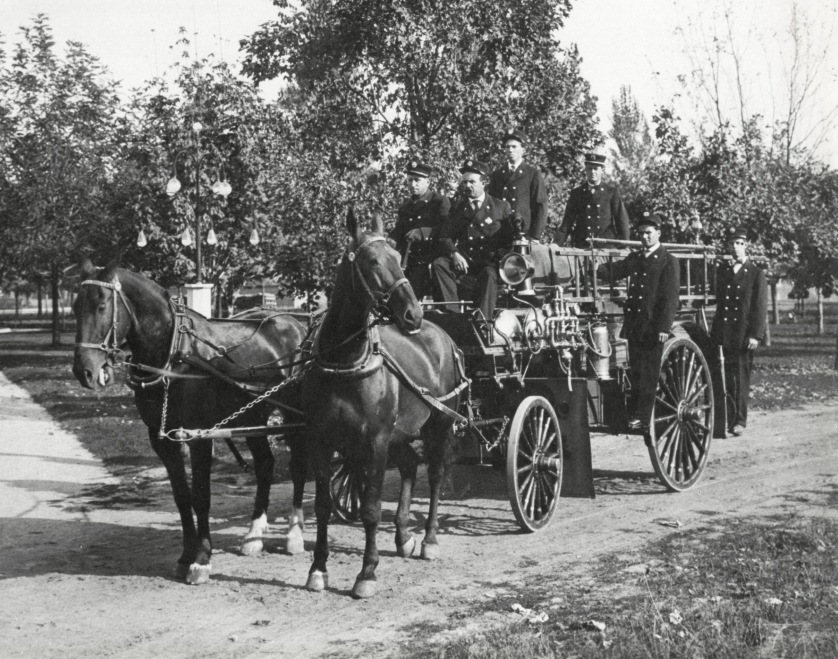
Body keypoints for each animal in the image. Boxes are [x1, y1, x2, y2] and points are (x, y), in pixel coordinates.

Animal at [72, 260, 308, 584]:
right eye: (74, 307)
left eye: (101, 306)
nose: (83, 371)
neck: (175, 354)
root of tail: (294, 323)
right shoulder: (161, 438)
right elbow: (182, 496)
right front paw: (186, 556)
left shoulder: (198, 436)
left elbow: (201, 495)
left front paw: (202, 559)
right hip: (253, 415)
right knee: (265, 465)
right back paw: (254, 534)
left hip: (294, 416)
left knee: (298, 467)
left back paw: (294, 534)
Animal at [306, 210, 470, 600]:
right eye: (372, 261)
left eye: (398, 258)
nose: (412, 313)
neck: (344, 362)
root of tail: (443, 335)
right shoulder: (321, 441)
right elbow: (322, 506)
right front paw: (318, 568)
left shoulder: (375, 441)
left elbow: (370, 508)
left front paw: (367, 572)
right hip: (401, 433)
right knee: (410, 465)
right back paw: (402, 535)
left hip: (438, 424)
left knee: (435, 473)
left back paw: (429, 539)